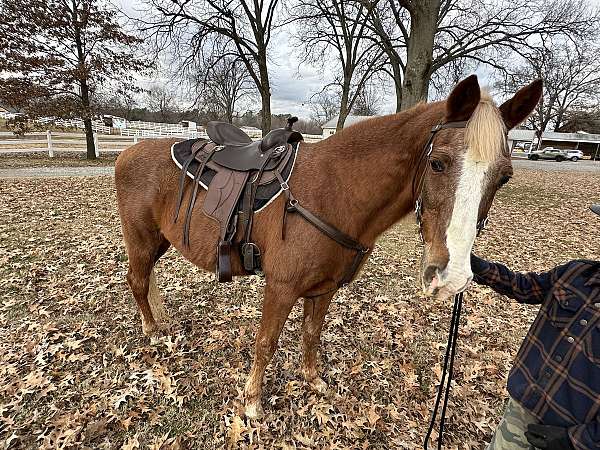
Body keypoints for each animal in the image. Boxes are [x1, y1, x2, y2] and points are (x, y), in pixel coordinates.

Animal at [115, 74, 540, 418]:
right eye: (438, 163)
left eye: (504, 176)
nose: (451, 277)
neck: (334, 192)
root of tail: (128, 151)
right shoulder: (281, 287)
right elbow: (266, 342)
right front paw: (252, 402)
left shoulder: (323, 290)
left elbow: (311, 335)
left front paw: (312, 380)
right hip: (141, 240)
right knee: (137, 281)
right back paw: (151, 330)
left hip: (160, 242)